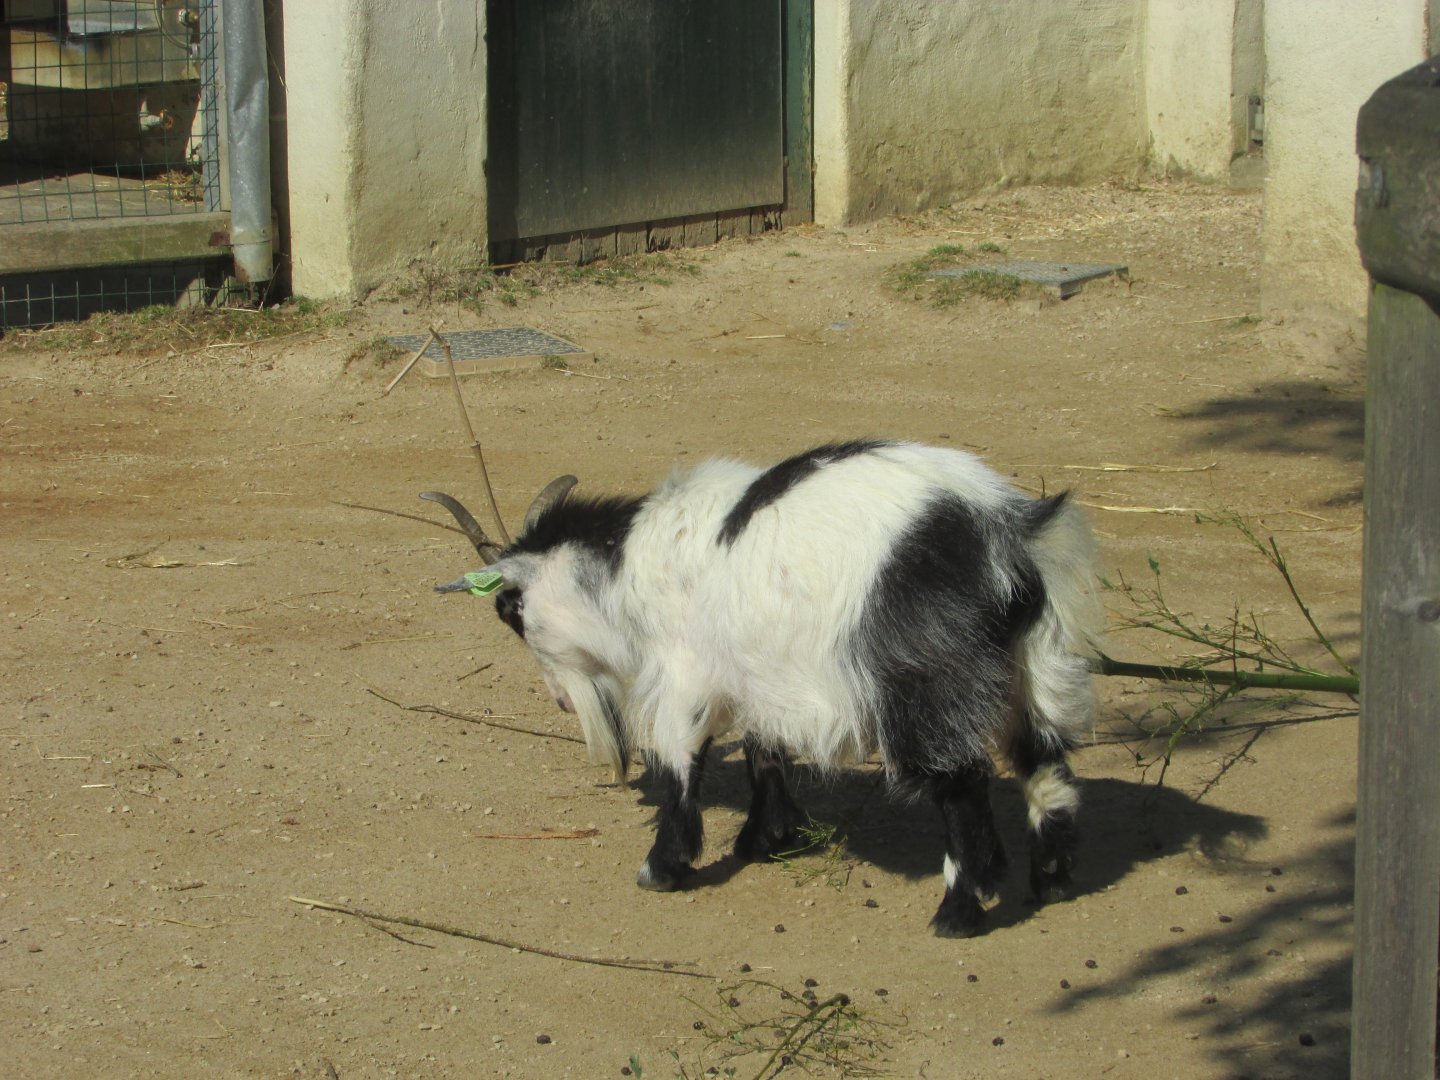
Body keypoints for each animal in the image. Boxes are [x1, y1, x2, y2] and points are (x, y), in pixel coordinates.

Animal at [426, 440, 1099, 937]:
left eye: (510, 609)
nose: (561, 700)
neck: (625, 568)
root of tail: (1004, 537)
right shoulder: (755, 675)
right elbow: (763, 751)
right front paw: (765, 838)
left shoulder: (685, 674)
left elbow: (680, 761)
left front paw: (663, 868)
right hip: (1035, 665)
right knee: (1044, 763)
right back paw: (1051, 879)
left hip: (928, 679)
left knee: (961, 783)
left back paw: (958, 912)